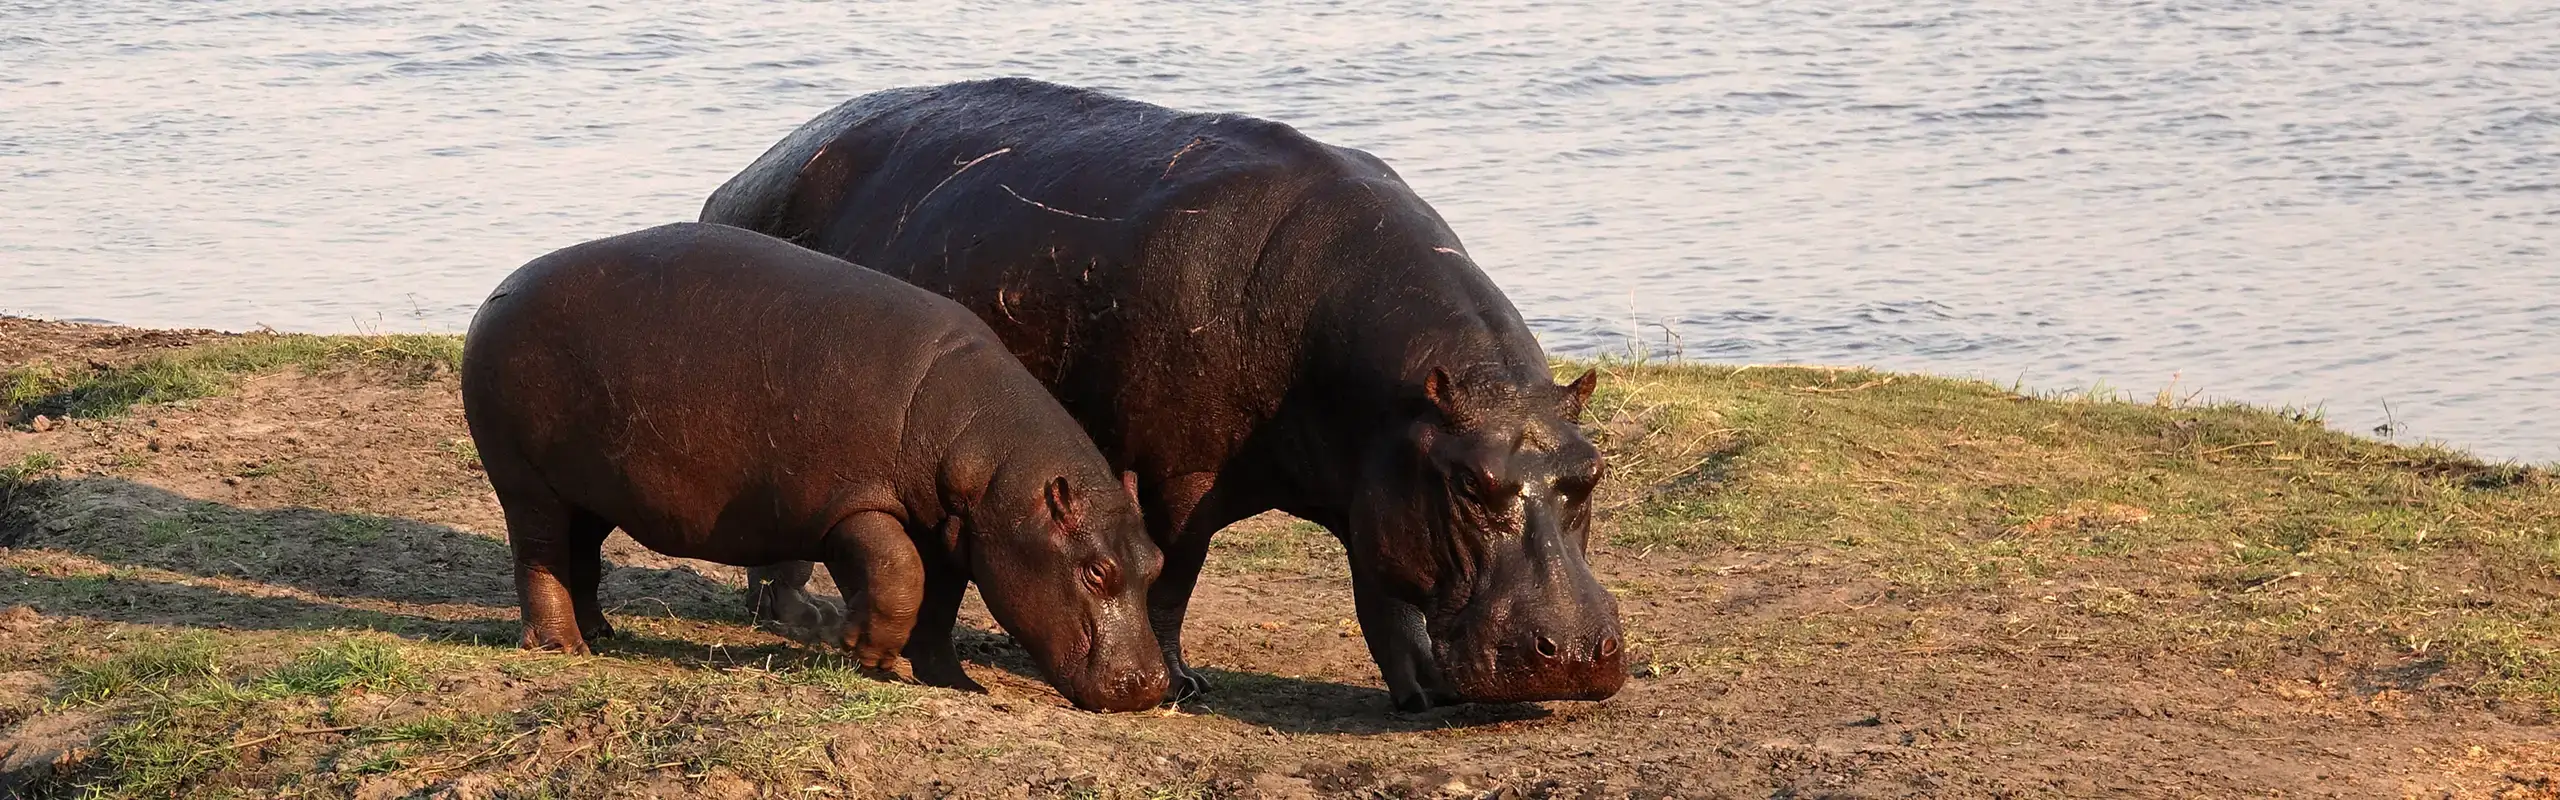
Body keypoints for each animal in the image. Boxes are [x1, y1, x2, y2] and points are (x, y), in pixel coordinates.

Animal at [459, 221, 1169, 712]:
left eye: (1156, 561)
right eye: (1097, 571)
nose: (1154, 684)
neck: (986, 463)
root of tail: (497, 292)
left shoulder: (951, 532)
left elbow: (937, 603)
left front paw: (951, 680)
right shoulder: (852, 505)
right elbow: (899, 574)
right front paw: (861, 650)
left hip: (590, 492)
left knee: (580, 555)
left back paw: (602, 634)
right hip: (527, 484)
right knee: (540, 557)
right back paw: (562, 646)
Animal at [702, 78, 1624, 711]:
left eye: (1592, 471)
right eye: (1471, 483)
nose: (1580, 653)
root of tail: (738, 180)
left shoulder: (1378, 482)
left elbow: (1383, 588)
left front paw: (1423, 691)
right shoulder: (1183, 471)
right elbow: (1177, 570)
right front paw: (1181, 682)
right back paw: (791, 612)